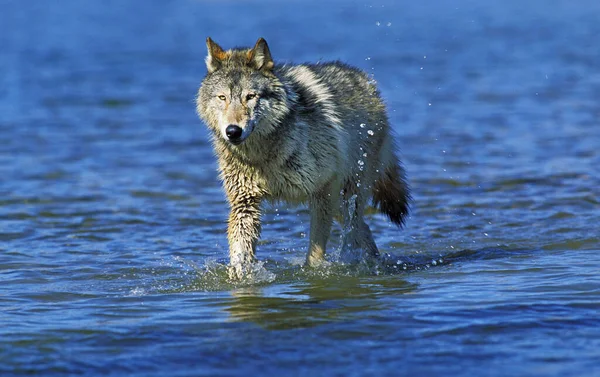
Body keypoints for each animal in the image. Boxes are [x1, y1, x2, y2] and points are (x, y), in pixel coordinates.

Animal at [195, 36, 410, 276]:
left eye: (250, 97)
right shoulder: (244, 202)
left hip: (348, 193)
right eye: (222, 97)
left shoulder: (323, 189)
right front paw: (240, 274)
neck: (263, 155)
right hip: (338, 202)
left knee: (354, 228)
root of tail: (367, 83)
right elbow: (240, 250)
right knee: (365, 229)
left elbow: (315, 252)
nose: (233, 131)